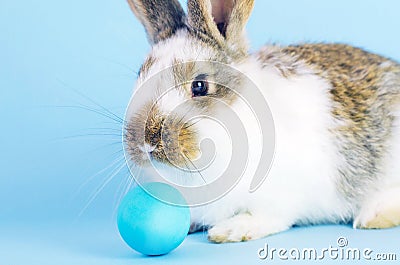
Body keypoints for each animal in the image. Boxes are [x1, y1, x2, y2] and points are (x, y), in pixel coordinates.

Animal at [123, 0, 400, 241]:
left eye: (200, 86)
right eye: (140, 75)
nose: (146, 142)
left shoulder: (280, 197)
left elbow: (267, 217)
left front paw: (231, 230)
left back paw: (374, 216)